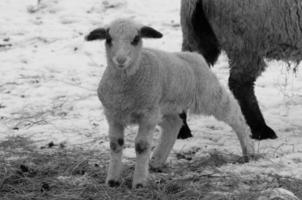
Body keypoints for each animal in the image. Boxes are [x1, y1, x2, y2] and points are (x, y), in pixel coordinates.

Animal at [85, 18, 255, 189]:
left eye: (136, 39)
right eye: (108, 39)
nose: (120, 60)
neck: (125, 87)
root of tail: (194, 56)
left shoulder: (148, 115)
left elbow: (141, 146)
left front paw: (139, 182)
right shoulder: (113, 115)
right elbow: (115, 144)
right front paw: (112, 181)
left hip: (207, 94)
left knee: (234, 113)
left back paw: (249, 150)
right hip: (166, 106)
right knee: (174, 124)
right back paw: (157, 160)